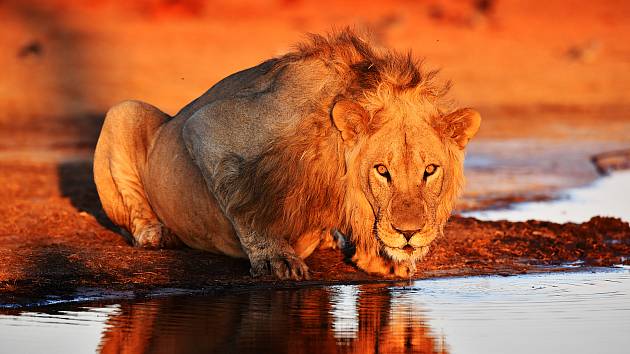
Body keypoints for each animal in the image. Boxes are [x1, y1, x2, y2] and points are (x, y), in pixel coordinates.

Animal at [94, 30, 482, 280]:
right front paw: (274, 258)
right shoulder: (207, 124)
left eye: (430, 170)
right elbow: (243, 201)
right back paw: (155, 234)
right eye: (381, 170)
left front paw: (380, 256)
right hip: (125, 111)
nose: (408, 233)